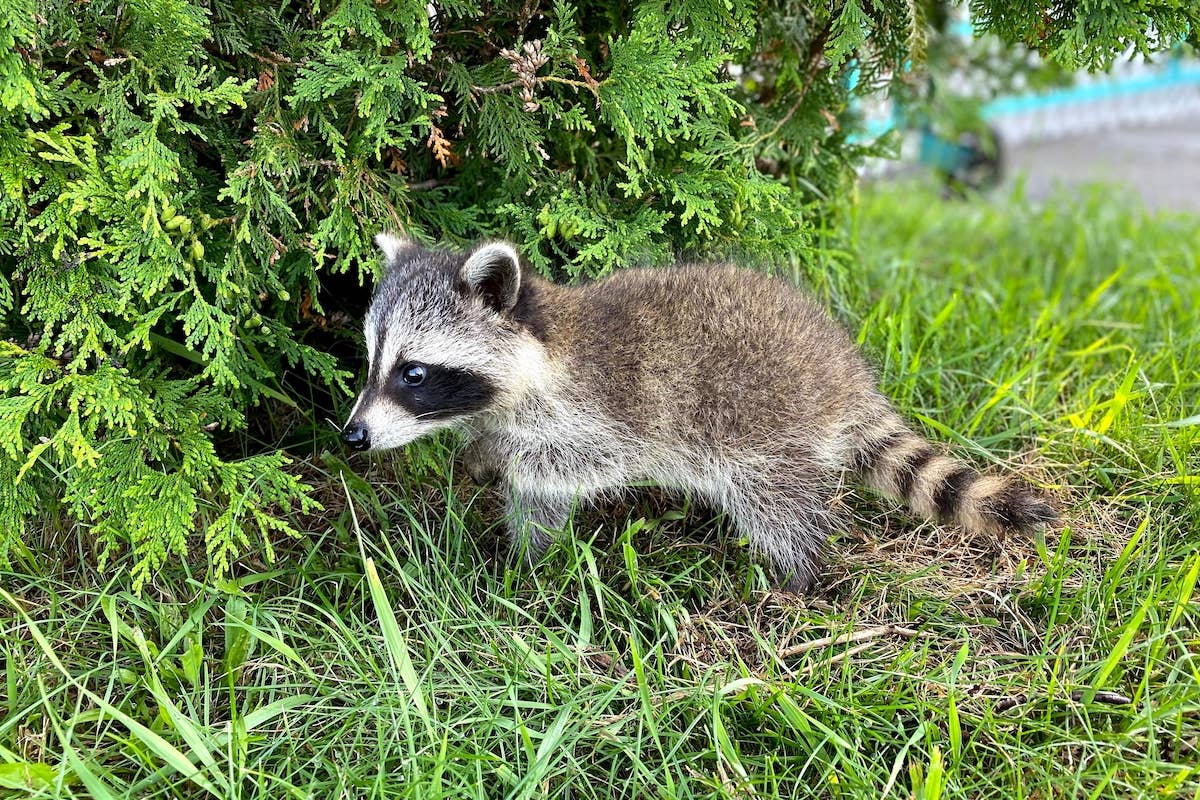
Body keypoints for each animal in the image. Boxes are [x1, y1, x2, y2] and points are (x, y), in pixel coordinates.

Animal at [343, 234, 1056, 590]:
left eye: (414, 374)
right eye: (372, 360)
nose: (353, 436)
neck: (540, 351)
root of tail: (846, 377)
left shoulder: (604, 413)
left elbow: (570, 468)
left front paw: (506, 495)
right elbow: (526, 482)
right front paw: (517, 542)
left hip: (766, 432)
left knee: (780, 509)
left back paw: (802, 576)